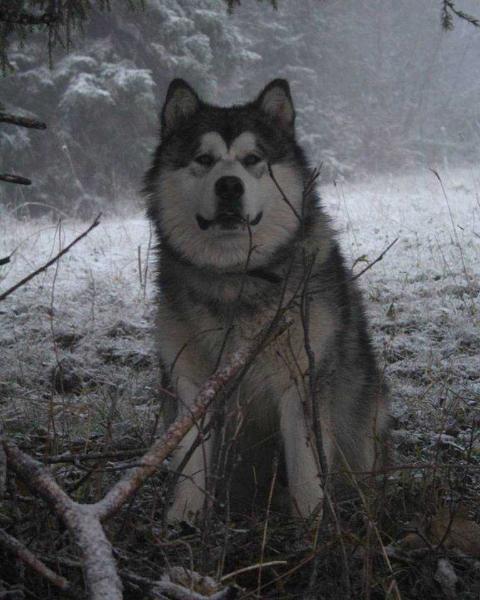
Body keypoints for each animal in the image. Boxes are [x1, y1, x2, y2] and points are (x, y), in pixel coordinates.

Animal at [143, 78, 390, 520]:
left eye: (252, 158)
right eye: (204, 159)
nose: (229, 185)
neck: (235, 278)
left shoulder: (303, 379)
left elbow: (306, 466)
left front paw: (312, 523)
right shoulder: (189, 380)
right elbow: (191, 461)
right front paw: (184, 518)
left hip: (366, 419)